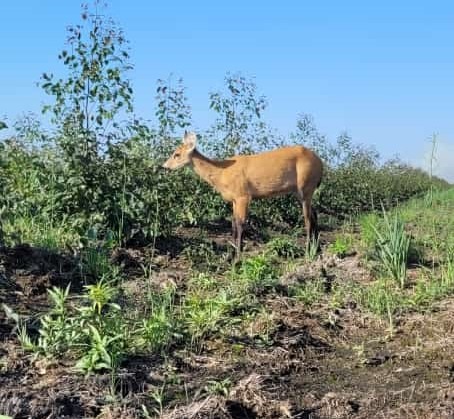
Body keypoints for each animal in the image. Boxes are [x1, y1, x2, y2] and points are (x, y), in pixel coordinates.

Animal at [163, 132, 322, 260]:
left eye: (176, 154)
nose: (164, 166)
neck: (222, 173)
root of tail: (321, 164)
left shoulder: (243, 195)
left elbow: (240, 225)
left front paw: (238, 259)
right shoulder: (234, 199)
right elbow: (233, 224)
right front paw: (230, 256)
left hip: (306, 185)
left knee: (308, 219)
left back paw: (308, 253)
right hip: (299, 191)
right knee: (314, 215)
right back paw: (317, 250)